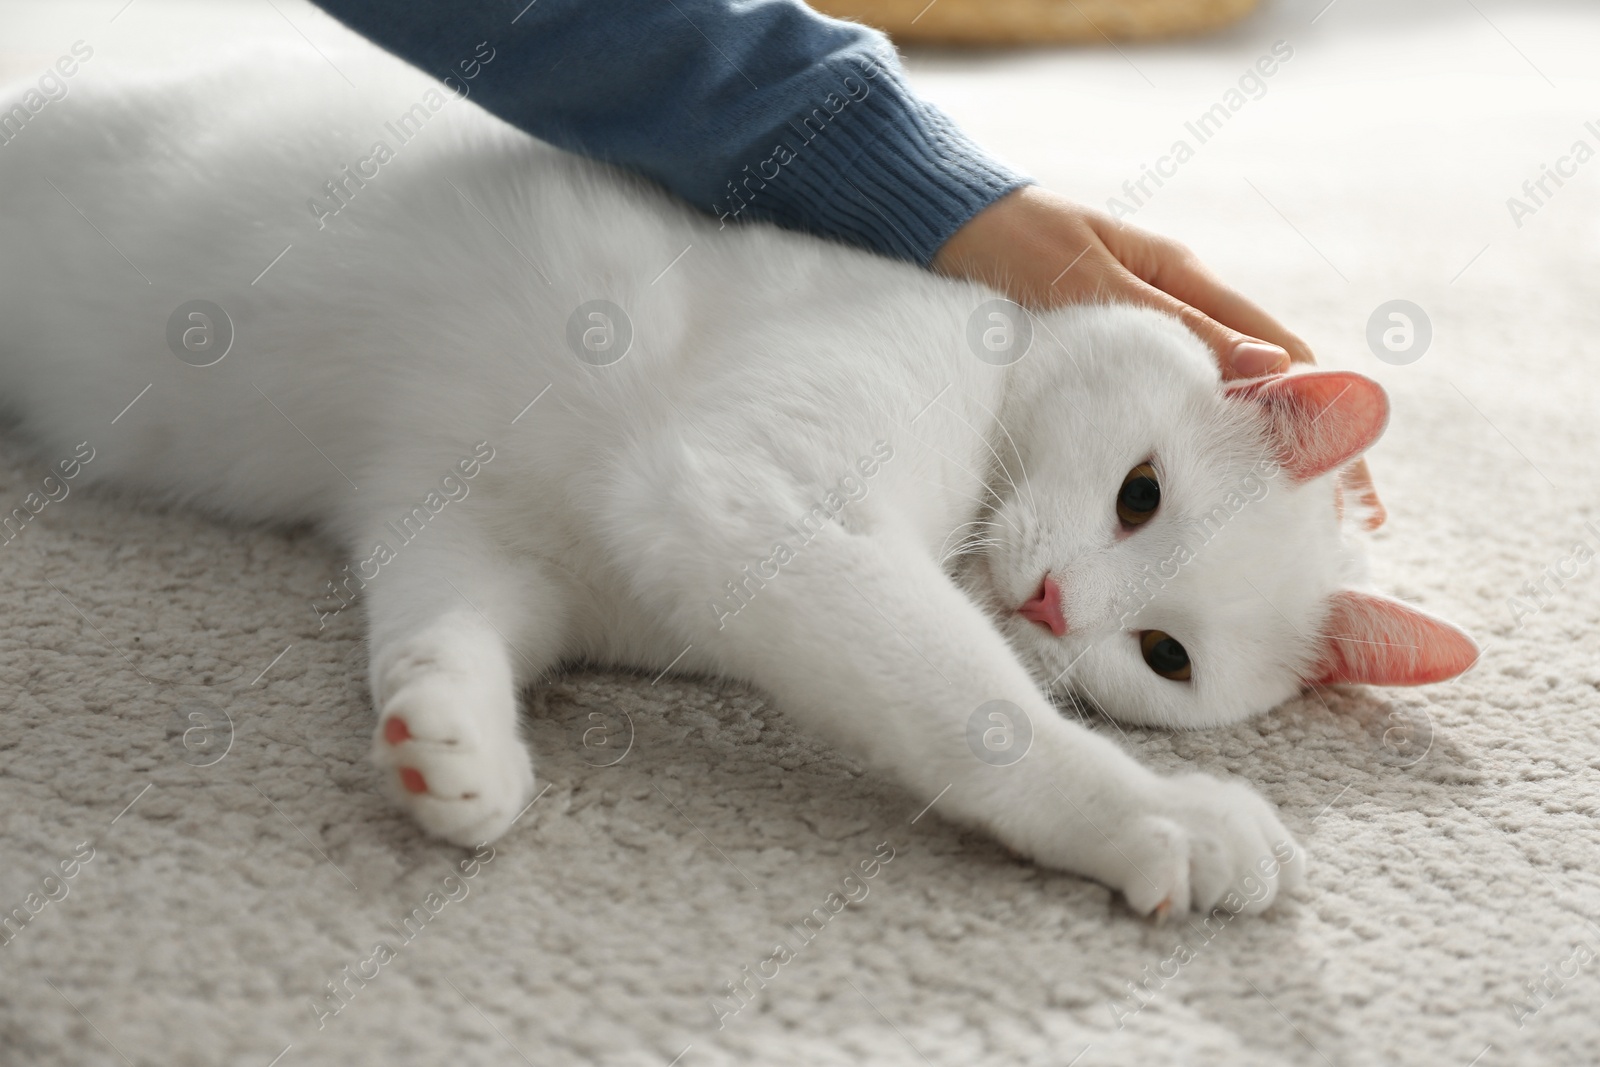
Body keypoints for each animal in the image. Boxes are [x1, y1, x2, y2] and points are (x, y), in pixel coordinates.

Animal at [0, 51, 1472, 921]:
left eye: (1164, 656)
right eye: (1140, 495)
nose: (1055, 605)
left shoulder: (475, 535)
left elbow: (440, 634)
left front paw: (450, 753)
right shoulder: (752, 499)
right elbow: (978, 709)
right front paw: (1162, 816)